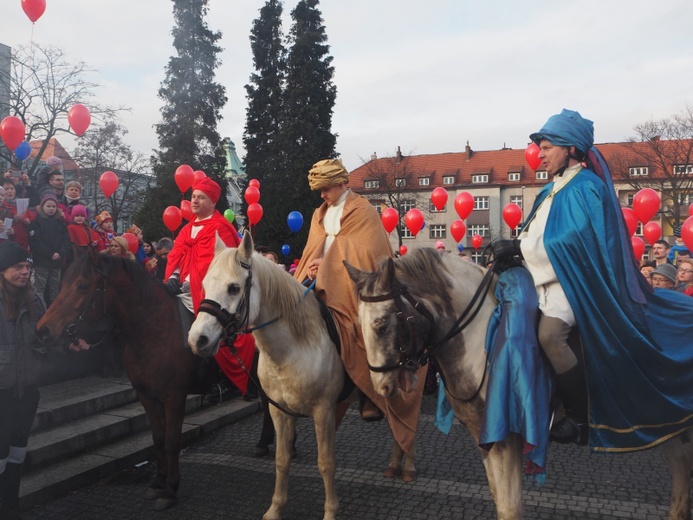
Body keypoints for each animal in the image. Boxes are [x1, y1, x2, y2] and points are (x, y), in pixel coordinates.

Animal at [36, 251, 209, 512]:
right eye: (63, 283)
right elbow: (158, 438)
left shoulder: (175, 395)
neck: (154, 330)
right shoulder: (146, 395)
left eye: (83, 285)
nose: (43, 330)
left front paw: (170, 490)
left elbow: (171, 442)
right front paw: (158, 482)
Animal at [187, 234, 416, 520]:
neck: (293, 348)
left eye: (233, 287)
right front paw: (275, 508)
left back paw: (407, 466)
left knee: (407, 418)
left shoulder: (324, 411)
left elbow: (326, 463)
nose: (197, 340)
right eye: (204, 285)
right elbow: (281, 460)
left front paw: (330, 511)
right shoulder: (279, 411)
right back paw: (394, 464)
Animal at [346, 248, 693, 520]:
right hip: (668, 425)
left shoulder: (505, 437)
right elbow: (502, 502)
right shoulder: (484, 437)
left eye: (382, 324)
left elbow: (510, 508)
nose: (381, 387)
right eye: (357, 323)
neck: (480, 336)